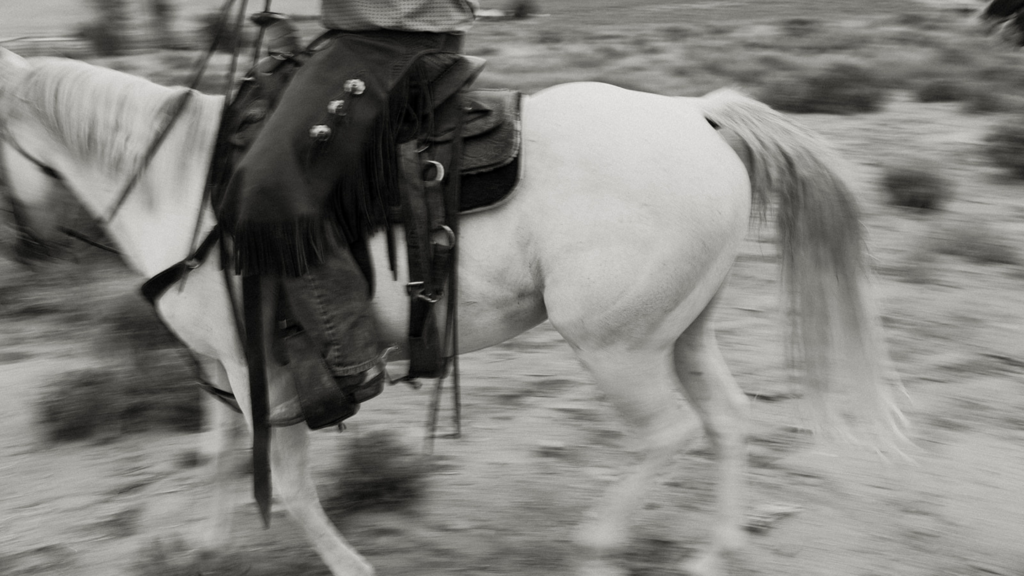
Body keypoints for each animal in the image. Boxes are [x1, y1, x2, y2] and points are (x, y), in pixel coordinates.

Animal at [0, 50, 901, 573]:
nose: (27, 252)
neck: (184, 188)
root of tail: (696, 114)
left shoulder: (271, 376)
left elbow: (287, 484)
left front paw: (348, 565)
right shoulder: (227, 367)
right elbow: (219, 453)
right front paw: (201, 543)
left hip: (617, 345)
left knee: (668, 434)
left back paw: (596, 546)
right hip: (682, 330)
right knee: (728, 421)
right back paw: (712, 552)